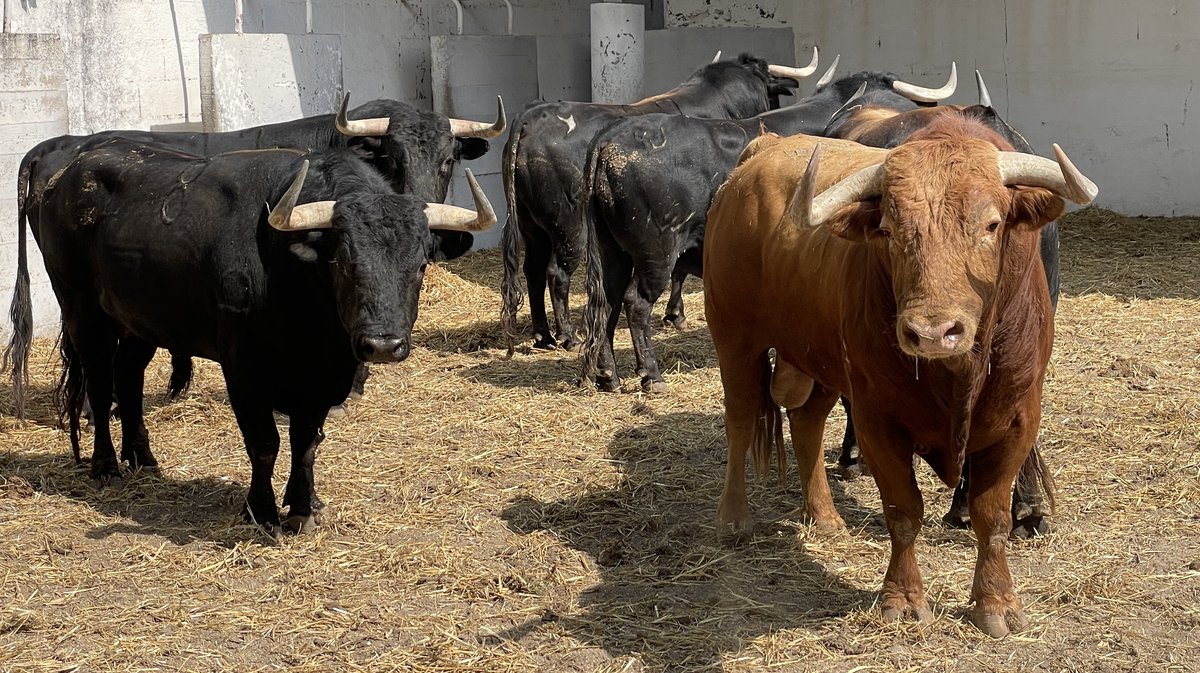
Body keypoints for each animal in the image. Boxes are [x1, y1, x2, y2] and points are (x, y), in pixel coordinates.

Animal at [3, 145, 492, 535]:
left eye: (421, 264)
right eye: (342, 261)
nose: (383, 346)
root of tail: (68, 167)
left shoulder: (322, 379)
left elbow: (306, 443)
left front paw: (304, 506)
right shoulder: (244, 371)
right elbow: (264, 444)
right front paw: (262, 512)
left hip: (144, 320)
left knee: (129, 380)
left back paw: (143, 458)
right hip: (82, 309)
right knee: (101, 384)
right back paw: (106, 468)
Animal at [700, 115, 1099, 633]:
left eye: (991, 224)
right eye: (888, 230)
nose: (932, 332)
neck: (957, 375)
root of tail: (762, 150)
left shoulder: (1016, 421)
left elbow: (991, 517)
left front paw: (996, 604)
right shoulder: (877, 420)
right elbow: (904, 511)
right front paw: (904, 599)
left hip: (821, 359)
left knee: (807, 423)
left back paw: (824, 517)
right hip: (734, 337)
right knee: (741, 418)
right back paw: (733, 519)